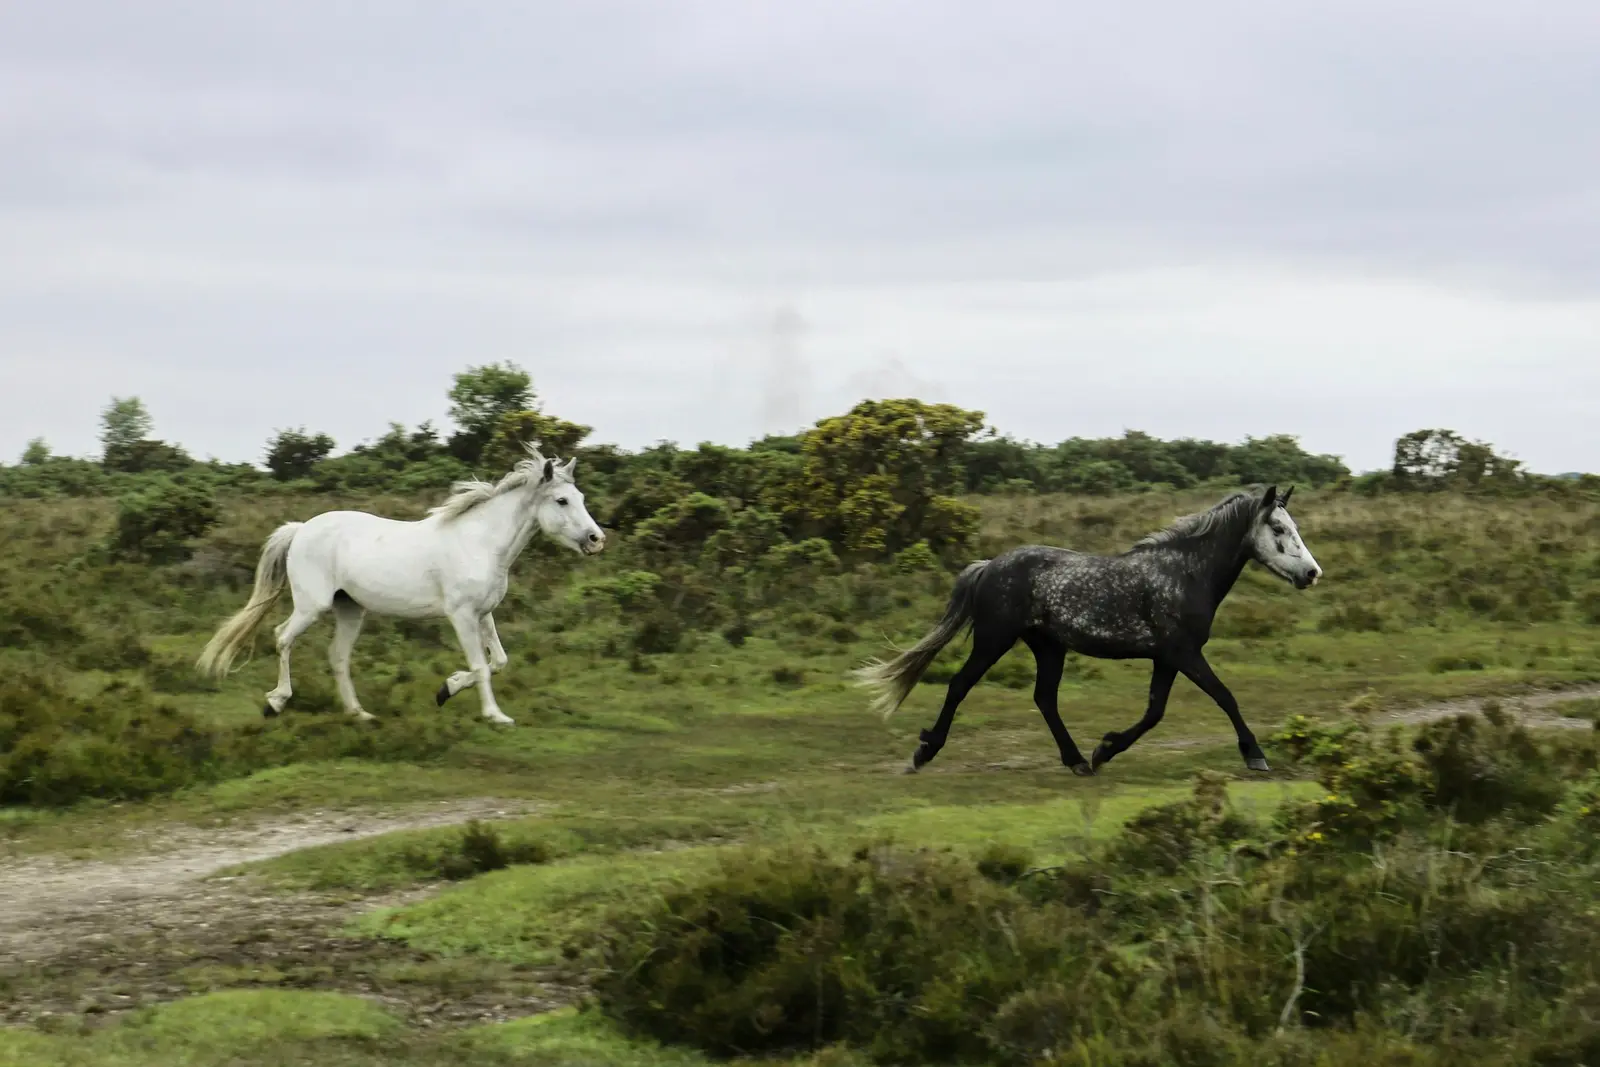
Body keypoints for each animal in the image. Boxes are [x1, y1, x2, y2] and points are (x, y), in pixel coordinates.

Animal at [196, 444, 605, 725]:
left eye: (581, 497)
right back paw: (276, 702)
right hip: (313, 605)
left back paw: (359, 714)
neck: (481, 543)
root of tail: (300, 529)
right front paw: (494, 715)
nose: (596, 540)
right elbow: (481, 665)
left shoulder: (484, 613)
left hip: (350, 609)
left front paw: (446, 689)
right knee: (282, 637)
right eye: (562, 500)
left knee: (338, 656)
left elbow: (498, 661)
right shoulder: (461, 616)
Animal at [853, 484, 1322, 776]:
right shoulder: (1184, 653)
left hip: (1048, 647)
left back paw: (1077, 760)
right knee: (959, 684)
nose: (1312, 573)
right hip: (994, 639)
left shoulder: (1166, 657)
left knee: (1044, 699)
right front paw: (1255, 755)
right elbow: (1225, 697)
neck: (1184, 573)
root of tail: (990, 566)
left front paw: (1105, 750)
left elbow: (1155, 712)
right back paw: (924, 751)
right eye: (1278, 528)